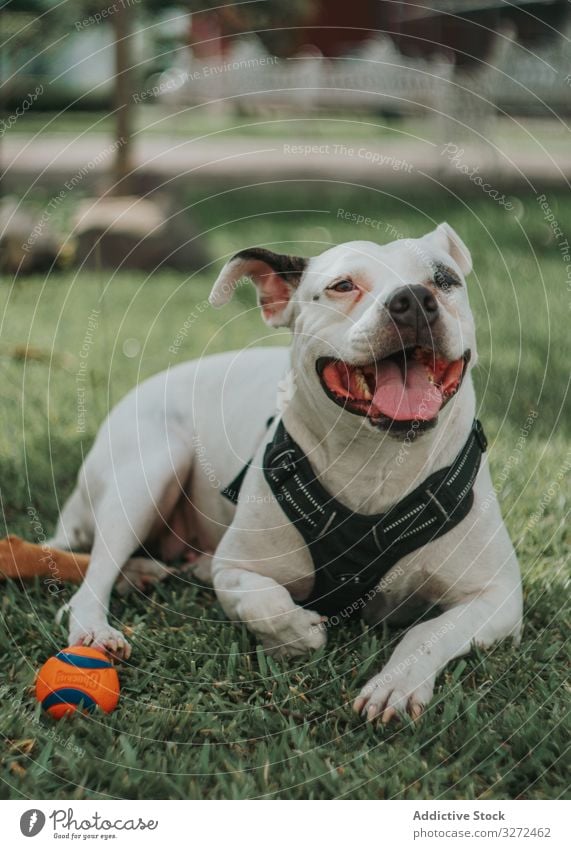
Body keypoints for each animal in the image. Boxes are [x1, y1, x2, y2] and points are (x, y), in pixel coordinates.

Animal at [52, 224, 524, 724]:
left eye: (445, 279)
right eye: (343, 285)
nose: (414, 299)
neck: (376, 462)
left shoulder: (498, 597)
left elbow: (429, 633)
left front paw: (396, 683)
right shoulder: (234, 569)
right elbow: (263, 601)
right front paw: (298, 633)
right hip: (151, 466)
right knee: (93, 576)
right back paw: (98, 627)